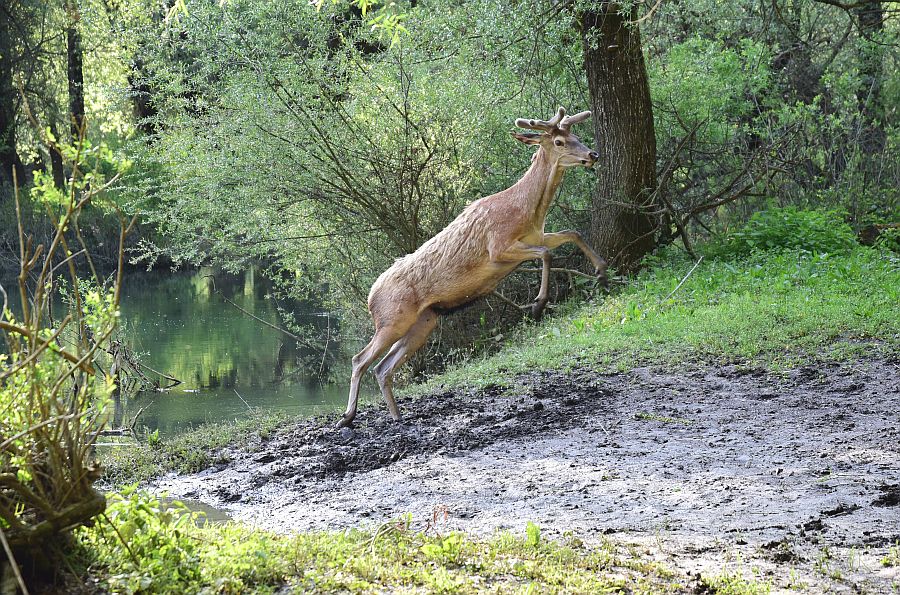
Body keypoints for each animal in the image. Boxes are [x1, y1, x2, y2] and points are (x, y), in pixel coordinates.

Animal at [340, 108, 612, 428]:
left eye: (576, 135)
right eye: (558, 141)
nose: (593, 154)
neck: (527, 212)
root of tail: (370, 297)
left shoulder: (536, 235)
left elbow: (573, 233)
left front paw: (602, 271)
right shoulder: (498, 246)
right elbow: (546, 254)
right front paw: (538, 303)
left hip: (424, 321)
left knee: (383, 367)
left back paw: (397, 416)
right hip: (392, 318)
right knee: (360, 359)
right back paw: (347, 417)